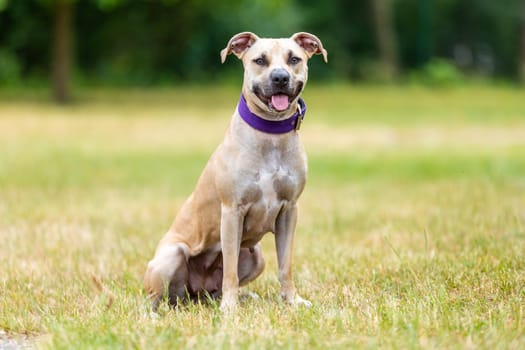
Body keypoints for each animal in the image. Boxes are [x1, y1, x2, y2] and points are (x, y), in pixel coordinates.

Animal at [142, 32, 324, 312]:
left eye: (294, 59)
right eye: (260, 60)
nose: (280, 77)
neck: (270, 134)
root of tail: (195, 292)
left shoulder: (289, 211)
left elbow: (286, 265)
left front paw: (292, 300)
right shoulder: (231, 211)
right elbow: (229, 270)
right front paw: (230, 308)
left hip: (256, 256)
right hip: (170, 257)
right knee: (155, 297)